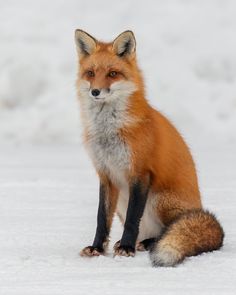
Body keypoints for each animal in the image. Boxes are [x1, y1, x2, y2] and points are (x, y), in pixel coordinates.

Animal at [74, 28, 223, 268]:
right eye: (90, 73)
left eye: (113, 73)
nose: (95, 92)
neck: (110, 131)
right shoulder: (106, 174)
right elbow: (101, 219)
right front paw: (97, 248)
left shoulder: (140, 172)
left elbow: (132, 219)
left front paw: (126, 248)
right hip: (121, 201)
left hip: (158, 199)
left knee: (164, 231)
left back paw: (146, 243)